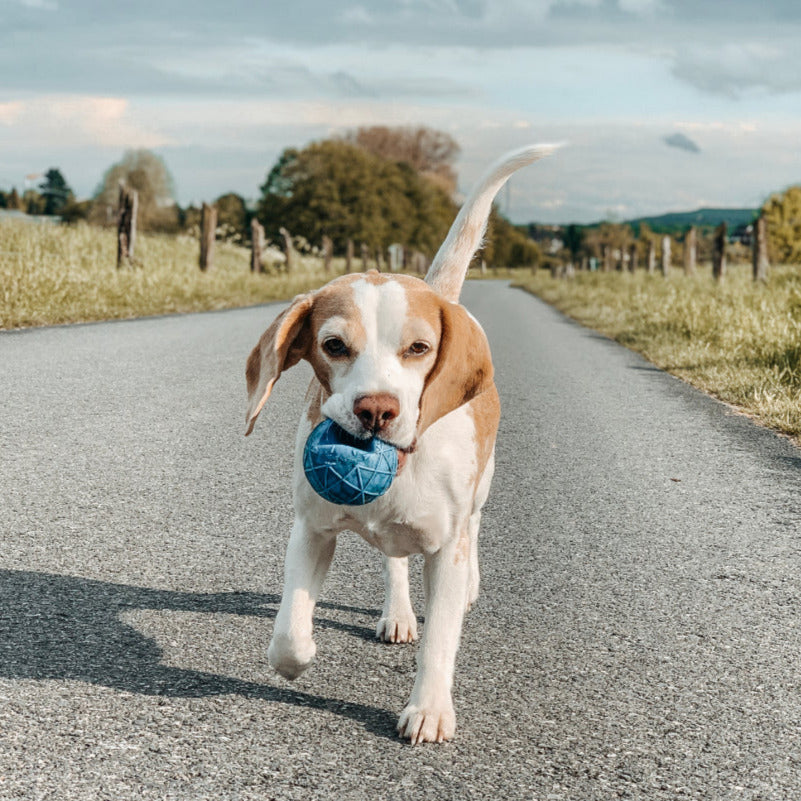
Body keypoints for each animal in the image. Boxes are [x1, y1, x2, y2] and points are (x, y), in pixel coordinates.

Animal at [245, 144, 556, 744]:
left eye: (418, 348)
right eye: (333, 345)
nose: (376, 410)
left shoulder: (445, 548)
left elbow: (441, 639)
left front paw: (429, 709)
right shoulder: (311, 529)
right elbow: (288, 631)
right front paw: (300, 653)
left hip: (479, 491)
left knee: (474, 527)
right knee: (394, 560)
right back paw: (398, 612)